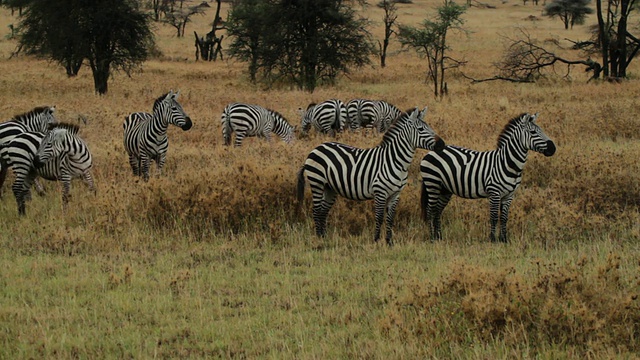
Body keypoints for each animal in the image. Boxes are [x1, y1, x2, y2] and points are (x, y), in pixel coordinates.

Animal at [298, 107, 444, 246]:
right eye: (421, 129)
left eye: (429, 127)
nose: (442, 144)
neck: (394, 160)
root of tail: (317, 148)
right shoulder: (380, 192)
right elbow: (379, 217)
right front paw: (377, 240)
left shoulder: (395, 194)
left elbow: (390, 218)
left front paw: (389, 242)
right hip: (317, 182)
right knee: (316, 210)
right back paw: (318, 237)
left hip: (330, 188)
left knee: (323, 211)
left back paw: (324, 237)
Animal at [420, 111, 556, 243]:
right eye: (533, 132)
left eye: (541, 130)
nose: (553, 148)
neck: (507, 163)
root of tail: (431, 152)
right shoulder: (494, 192)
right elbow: (494, 217)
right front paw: (493, 240)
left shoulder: (509, 195)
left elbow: (504, 218)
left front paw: (504, 240)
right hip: (433, 184)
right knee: (430, 211)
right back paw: (432, 238)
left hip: (445, 189)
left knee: (437, 211)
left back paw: (439, 237)